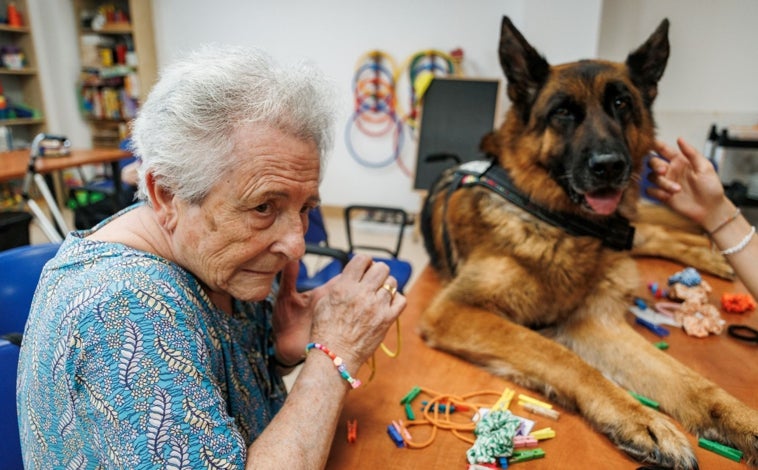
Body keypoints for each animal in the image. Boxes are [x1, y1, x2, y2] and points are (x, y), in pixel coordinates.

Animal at [422, 16, 758, 468]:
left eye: (621, 103)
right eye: (563, 112)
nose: (609, 167)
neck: (560, 224)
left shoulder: (595, 320)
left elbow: (693, 382)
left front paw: (743, 421)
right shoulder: (457, 310)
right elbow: (564, 358)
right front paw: (640, 419)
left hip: (629, 231)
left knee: (652, 231)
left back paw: (711, 252)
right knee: (651, 234)